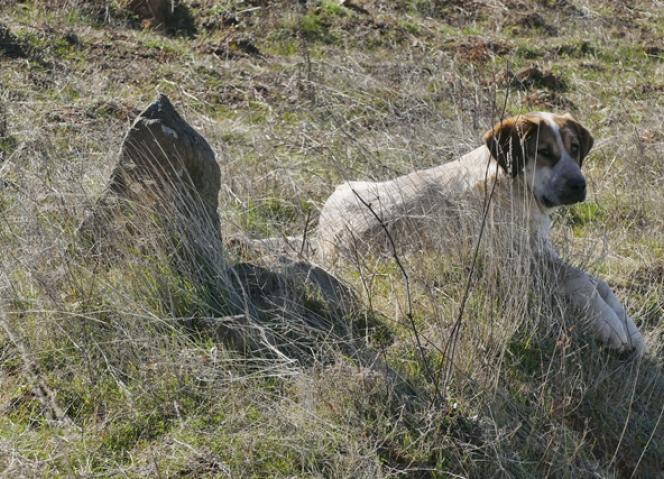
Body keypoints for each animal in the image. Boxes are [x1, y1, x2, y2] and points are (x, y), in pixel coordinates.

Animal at [318, 112, 648, 358]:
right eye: (544, 152)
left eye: (575, 148)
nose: (580, 185)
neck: (510, 185)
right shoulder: (517, 265)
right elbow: (581, 280)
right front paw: (610, 326)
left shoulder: (540, 253)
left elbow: (598, 282)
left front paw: (630, 328)